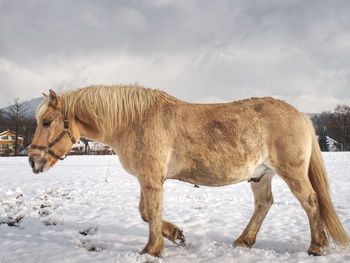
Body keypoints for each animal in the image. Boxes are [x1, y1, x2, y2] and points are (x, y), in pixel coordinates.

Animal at [28, 84, 348, 258]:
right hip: (260, 175)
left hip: (292, 172)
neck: (134, 121)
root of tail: (302, 116)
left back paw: (316, 246)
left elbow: (151, 212)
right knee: (264, 204)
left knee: (311, 202)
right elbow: (146, 213)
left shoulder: (151, 180)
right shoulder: (148, 180)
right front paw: (176, 235)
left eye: (46, 122)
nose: (32, 160)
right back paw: (244, 241)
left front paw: (152, 249)